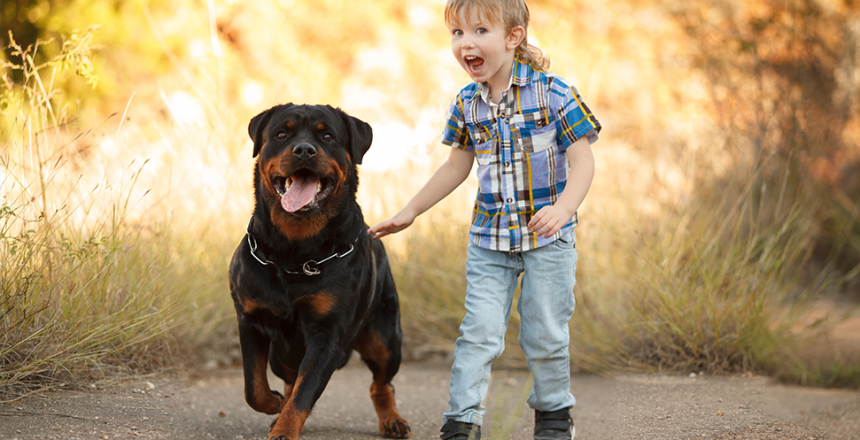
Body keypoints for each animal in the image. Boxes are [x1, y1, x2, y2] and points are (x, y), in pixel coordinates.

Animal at [230, 104, 412, 440]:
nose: (304, 149)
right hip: (280, 356)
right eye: (281, 134)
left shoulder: (328, 335)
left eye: (327, 136)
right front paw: (274, 405)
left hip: (385, 338)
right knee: (290, 379)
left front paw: (284, 432)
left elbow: (304, 393)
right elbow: (254, 387)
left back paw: (392, 420)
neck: (294, 251)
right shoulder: (250, 319)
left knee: (381, 383)